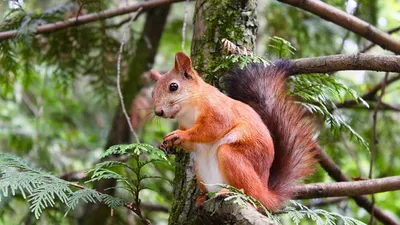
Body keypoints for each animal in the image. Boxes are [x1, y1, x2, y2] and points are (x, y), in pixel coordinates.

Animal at [150, 51, 318, 210]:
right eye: (152, 92)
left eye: (173, 86)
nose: (158, 112)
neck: (188, 110)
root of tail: (265, 193)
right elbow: (193, 144)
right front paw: (168, 144)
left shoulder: (218, 112)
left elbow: (210, 130)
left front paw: (180, 135)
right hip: (201, 170)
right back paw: (203, 197)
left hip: (233, 158)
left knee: (250, 194)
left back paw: (232, 192)